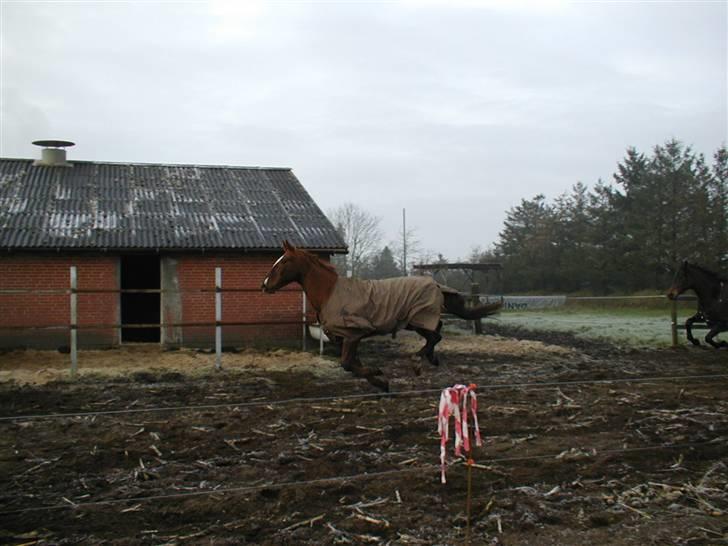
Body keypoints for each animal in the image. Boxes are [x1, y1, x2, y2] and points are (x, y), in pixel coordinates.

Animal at [260, 240, 500, 388]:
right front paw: (378, 375)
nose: (264, 285)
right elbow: (352, 364)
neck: (330, 292)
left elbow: (347, 364)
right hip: (414, 321)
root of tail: (437, 285)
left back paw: (418, 361)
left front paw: (381, 381)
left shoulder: (353, 334)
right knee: (436, 331)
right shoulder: (344, 338)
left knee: (435, 335)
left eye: (284, 261)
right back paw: (431, 358)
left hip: (418, 318)